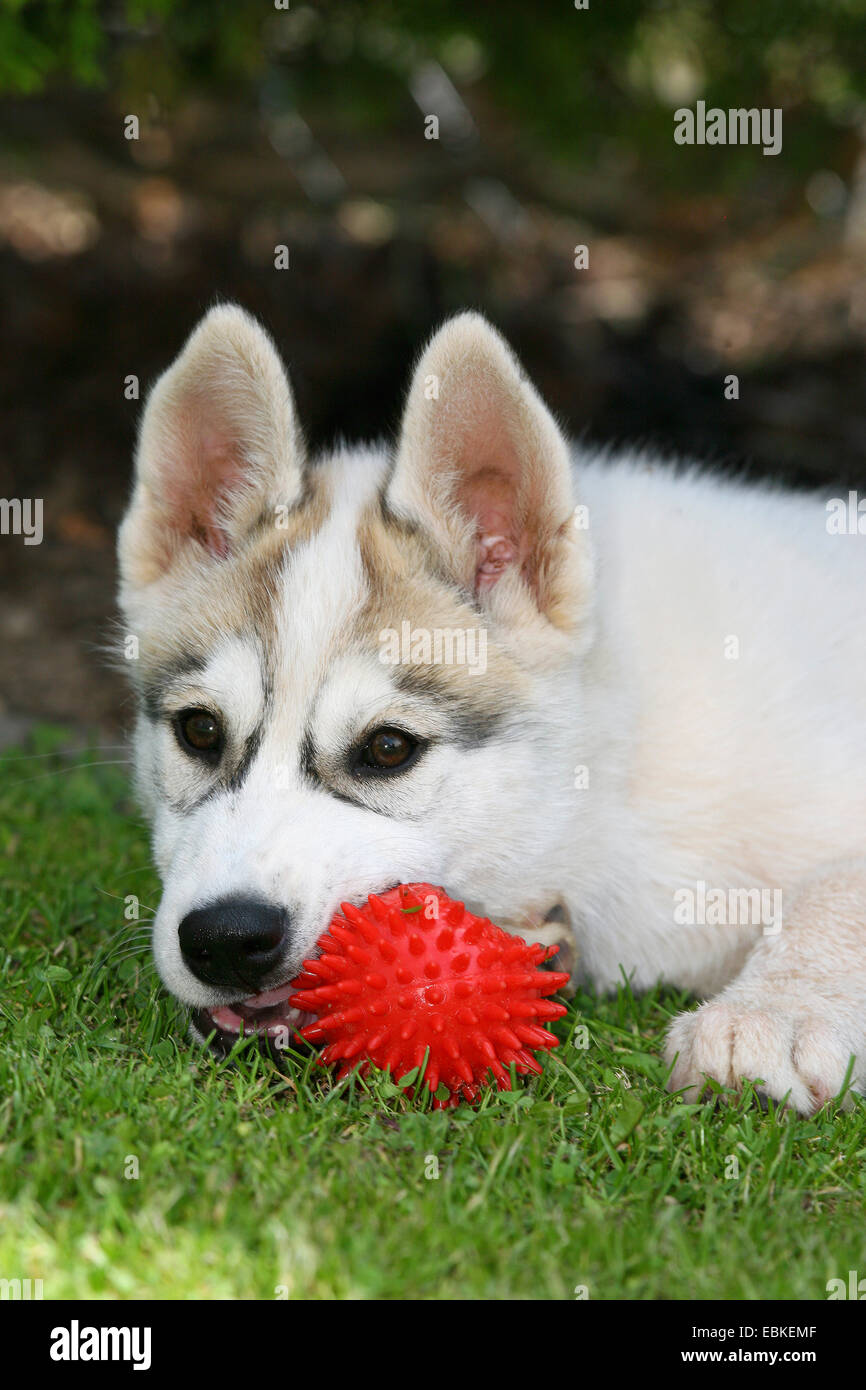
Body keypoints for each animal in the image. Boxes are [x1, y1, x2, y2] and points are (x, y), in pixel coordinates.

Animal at [118, 301, 866, 1106]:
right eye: (199, 731)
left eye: (388, 748)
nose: (225, 940)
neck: (600, 786)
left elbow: (837, 891)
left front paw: (772, 1016)